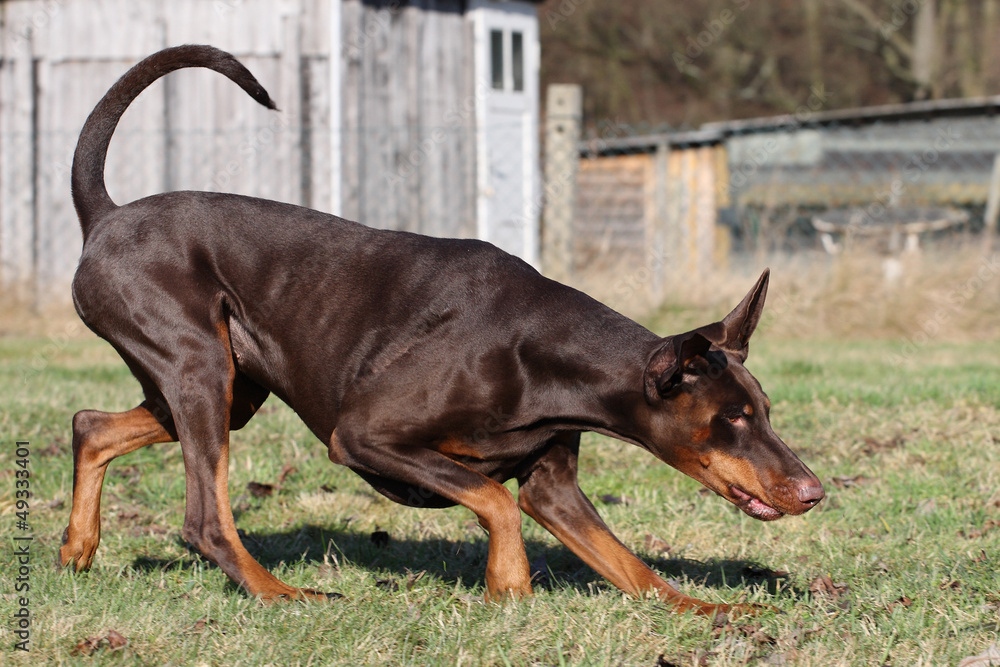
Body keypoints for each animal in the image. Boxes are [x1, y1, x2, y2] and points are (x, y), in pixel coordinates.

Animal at [64, 45, 828, 616]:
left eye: (764, 410)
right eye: (731, 419)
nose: (814, 491)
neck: (542, 357)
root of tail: (107, 214)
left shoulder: (554, 485)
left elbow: (629, 566)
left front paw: (719, 609)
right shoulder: (366, 436)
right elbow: (495, 499)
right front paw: (509, 584)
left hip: (231, 384)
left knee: (90, 425)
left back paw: (78, 546)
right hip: (200, 367)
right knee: (206, 518)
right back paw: (281, 591)